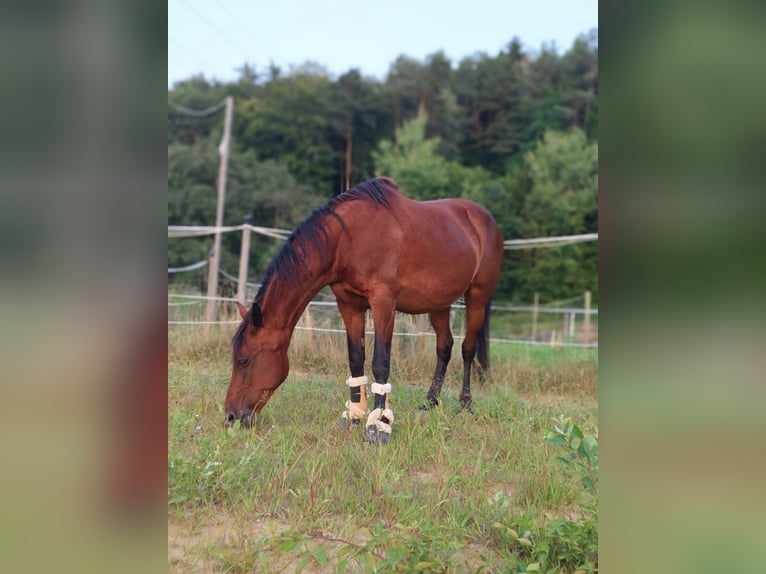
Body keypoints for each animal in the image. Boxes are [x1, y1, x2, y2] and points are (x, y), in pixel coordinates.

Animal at [224, 176, 504, 444]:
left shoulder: (383, 303)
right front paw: (355, 416)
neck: (347, 239)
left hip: (477, 296)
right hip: (440, 303)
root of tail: (484, 218)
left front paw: (378, 426)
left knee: (467, 349)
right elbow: (356, 359)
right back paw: (429, 404)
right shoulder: (349, 304)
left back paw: (465, 405)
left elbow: (381, 362)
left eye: (244, 360)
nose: (230, 416)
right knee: (444, 347)